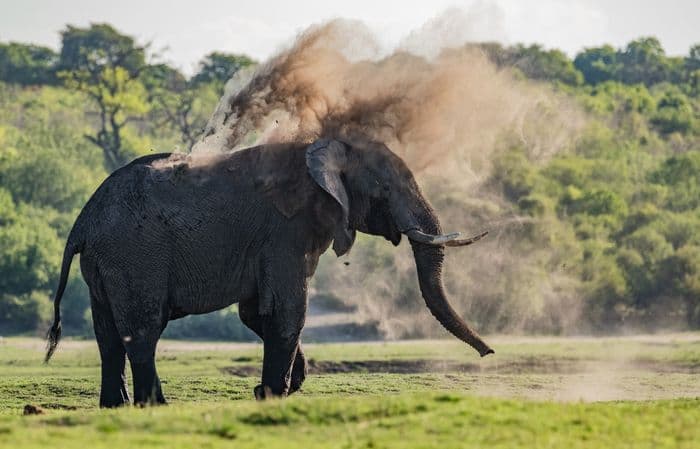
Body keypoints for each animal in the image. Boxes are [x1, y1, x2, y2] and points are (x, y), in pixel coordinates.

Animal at [44, 137, 493, 407]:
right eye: (385, 189)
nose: (489, 354)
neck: (324, 145)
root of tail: (83, 221)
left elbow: (256, 313)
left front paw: (278, 387)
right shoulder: (285, 232)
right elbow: (286, 311)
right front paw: (273, 395)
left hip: (104, 264)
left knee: (107, 335)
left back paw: (115, 407)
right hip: (135, 255)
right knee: (142, 331)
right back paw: (154, 406)